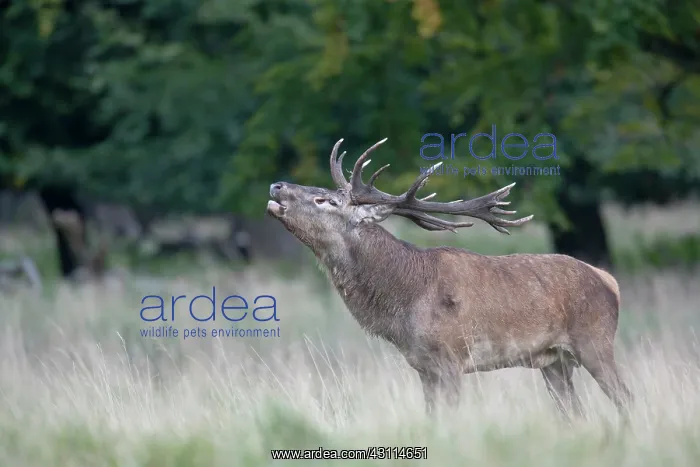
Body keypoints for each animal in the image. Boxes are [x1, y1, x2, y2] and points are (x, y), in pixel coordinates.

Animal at [266, 138, 633, 420]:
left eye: (324, 200)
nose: (277, 184)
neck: (405, 302)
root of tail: (609, 281)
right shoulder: (423, 367)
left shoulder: (452, 359)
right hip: (554, 360)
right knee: (575, 412)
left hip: (595, 340)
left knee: (625, 397)